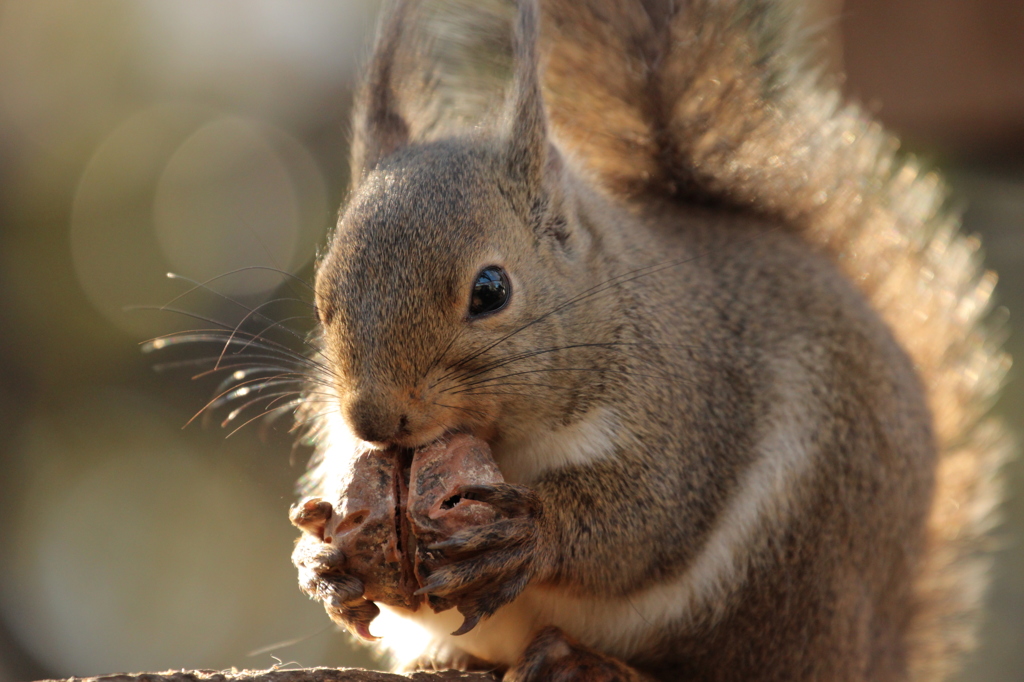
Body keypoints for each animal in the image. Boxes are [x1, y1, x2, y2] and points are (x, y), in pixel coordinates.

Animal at [284, 0, 1011, 675]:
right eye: (321, 297)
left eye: (490, 291)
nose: (372, 419)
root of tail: (883, 649)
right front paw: (325, 561)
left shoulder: (687, 412)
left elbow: (646, 519)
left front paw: (527, 532)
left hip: (793, 579)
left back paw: (587, 662)